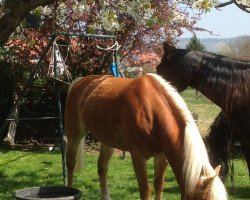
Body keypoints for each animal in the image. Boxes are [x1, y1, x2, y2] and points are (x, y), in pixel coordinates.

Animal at [65, 74, 227, 200]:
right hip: (74, 134)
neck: (152, 111)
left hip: (107, 141)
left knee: (102, 168)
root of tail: (80, 82)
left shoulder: (162, 156)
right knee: (71, 164)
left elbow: (158, 185)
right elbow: (145, 190)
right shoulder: (138, 156)